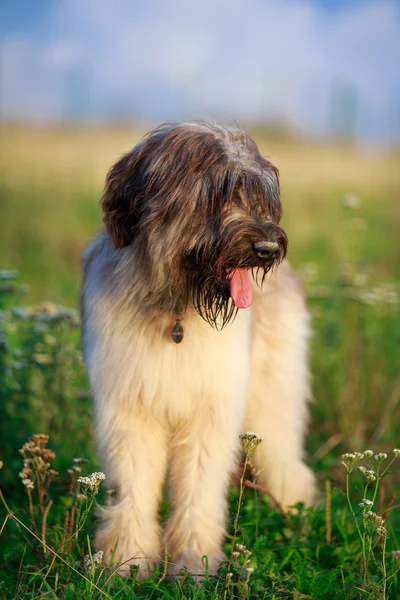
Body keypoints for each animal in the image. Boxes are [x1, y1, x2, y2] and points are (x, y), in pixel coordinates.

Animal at [80, 120, 316, 576]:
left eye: (262, 197)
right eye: (217, 194)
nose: (268, 249)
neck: (176, 308)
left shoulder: (210, 408)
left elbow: (198, 491)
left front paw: (193, 565)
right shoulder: (130, 406)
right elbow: (134, 486)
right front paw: (126, 562)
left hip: (274, 388)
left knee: (283, 452)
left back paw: (296, 511)